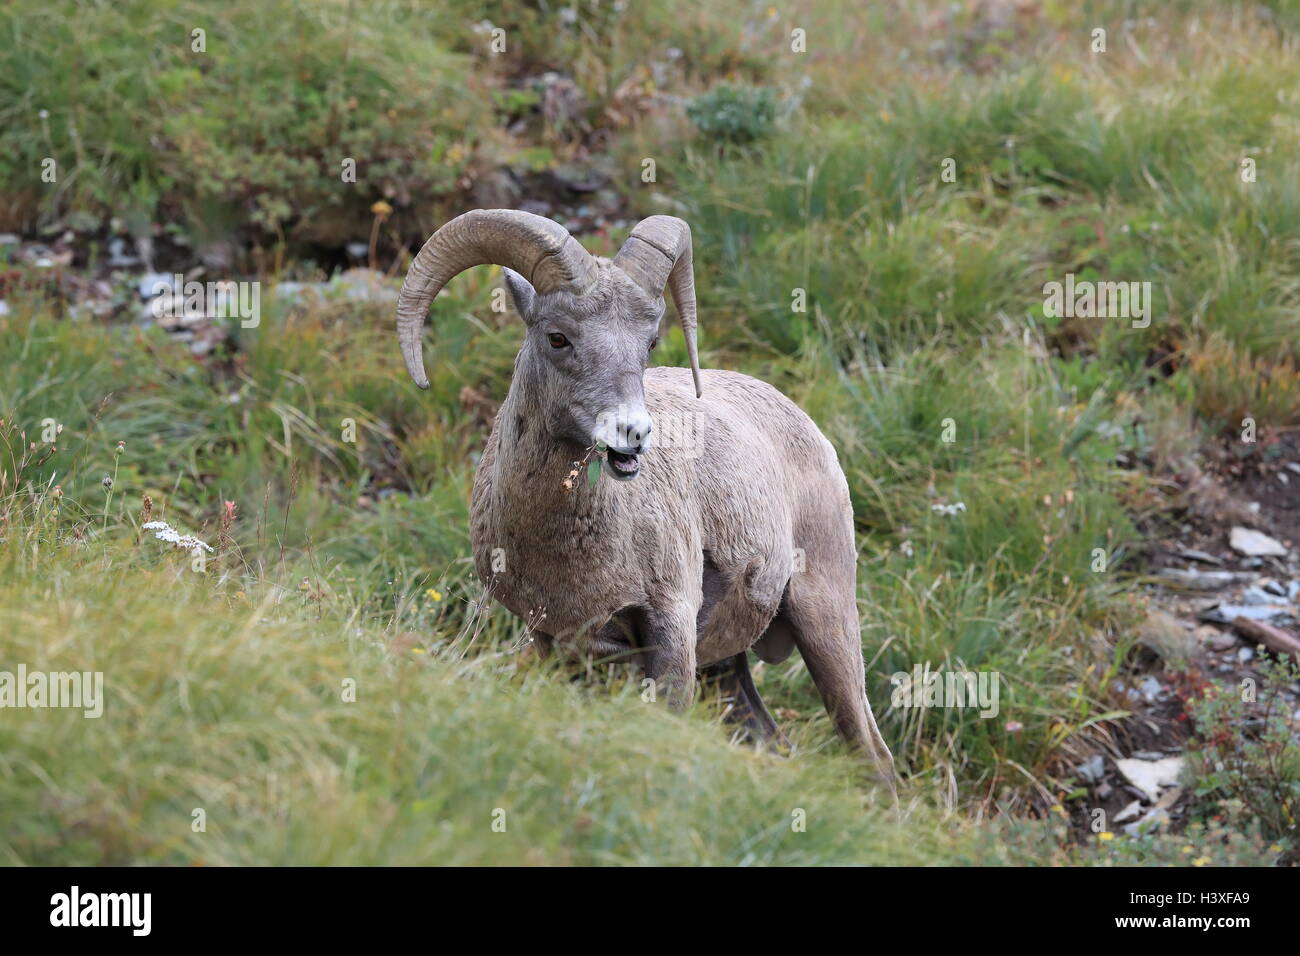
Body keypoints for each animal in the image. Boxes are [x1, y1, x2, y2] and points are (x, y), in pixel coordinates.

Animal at [397, 209, 894, 785]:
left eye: (650, 342)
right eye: (557, 337)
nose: (632, 434)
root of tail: (808, 428)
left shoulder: (670, 629)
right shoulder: (556, 642)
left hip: (826, 622)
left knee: (873, 756)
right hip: (727, 670)